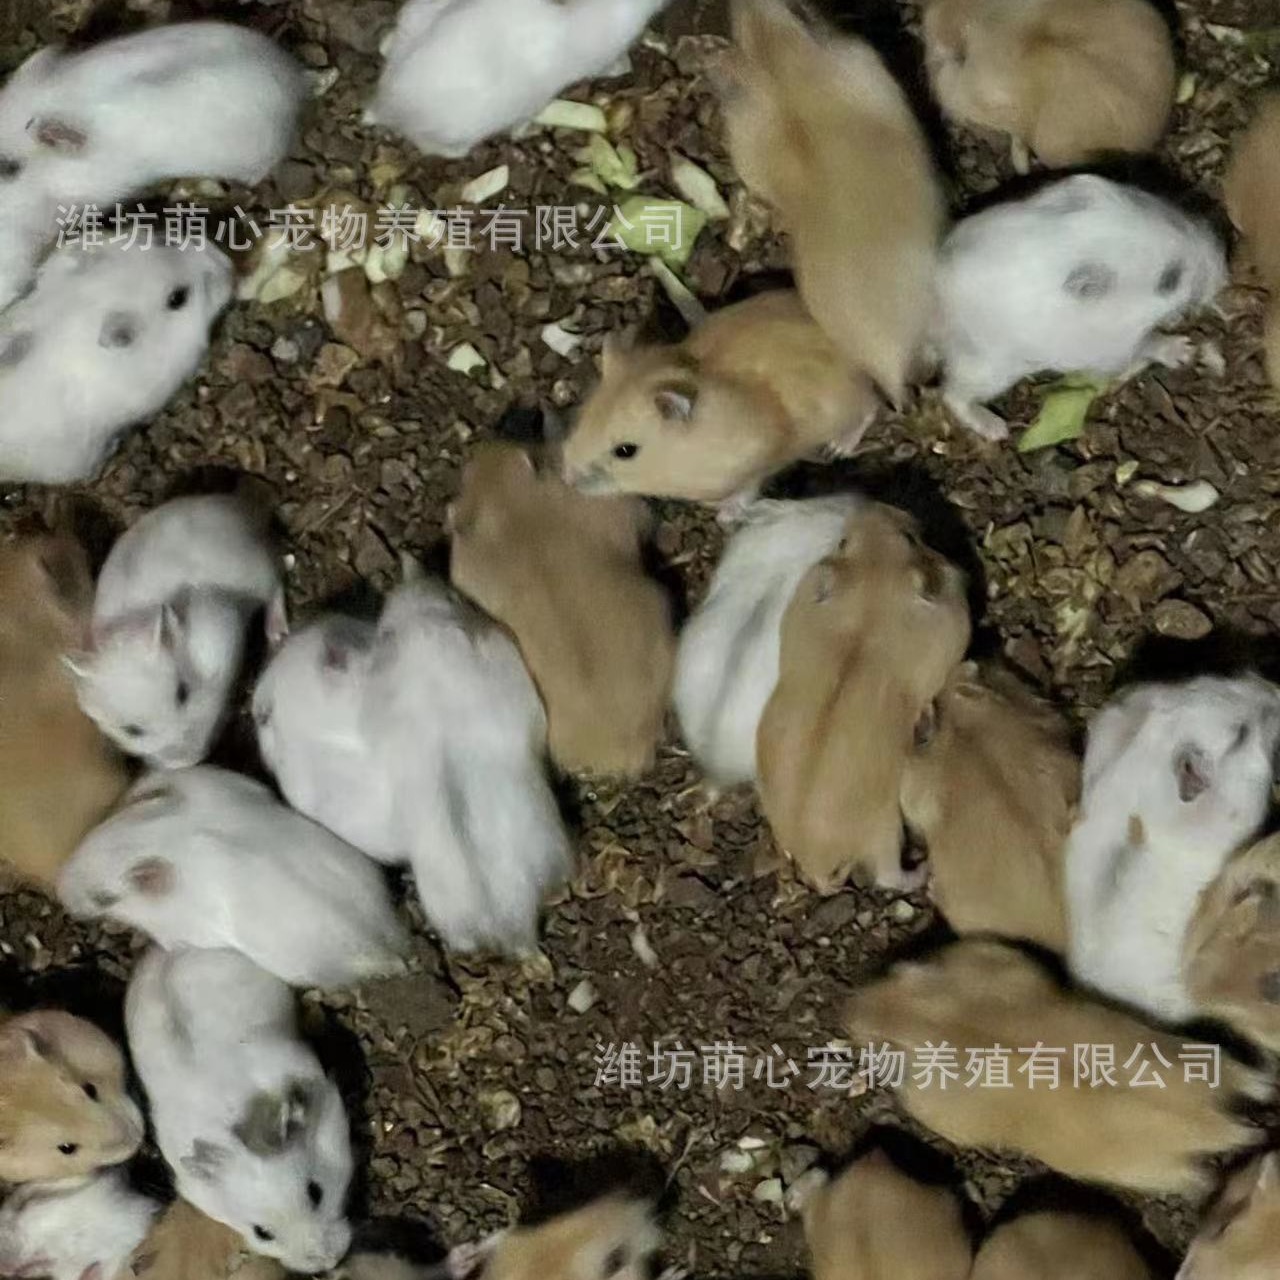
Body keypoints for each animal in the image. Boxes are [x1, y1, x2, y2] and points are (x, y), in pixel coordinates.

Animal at [69, 493, 283, 770]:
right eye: (132, 731)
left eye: (183, 693)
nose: (191, 760)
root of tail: (237, 505)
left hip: (259, 569)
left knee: (276, 584)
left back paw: (278, 633)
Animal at [561, 291, 880, 506]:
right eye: (581, 419)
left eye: (626, 451)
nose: (567, 480)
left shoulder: (760, 459)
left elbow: (749, 487)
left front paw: (722, 511)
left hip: (846, 401)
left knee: (870, 408)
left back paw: (838, 448)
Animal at [757, 502, 971, 892]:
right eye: (910, 538)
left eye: (843, 542)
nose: (875, 508)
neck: (871, 602)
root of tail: (815, 860)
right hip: (885, 830)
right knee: (889, 876)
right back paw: (922, 870)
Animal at [846, 939, 1270, 1195]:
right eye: (892, 971)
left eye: (878, 1045)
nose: (845, 1010)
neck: (930, 1020)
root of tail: (1212, 1120)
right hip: (1202, 1055)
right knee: (1249, 1080)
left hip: (1144, 1169)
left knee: (1200, 1176)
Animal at [935, 174, 1228, 441]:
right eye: (1169, 280)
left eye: (1176, 218)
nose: (1222, 270)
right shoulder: (1115, 345)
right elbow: (1152, 343)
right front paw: (1186, 350)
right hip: (991, 368)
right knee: (952, 394)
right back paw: (997, 429)